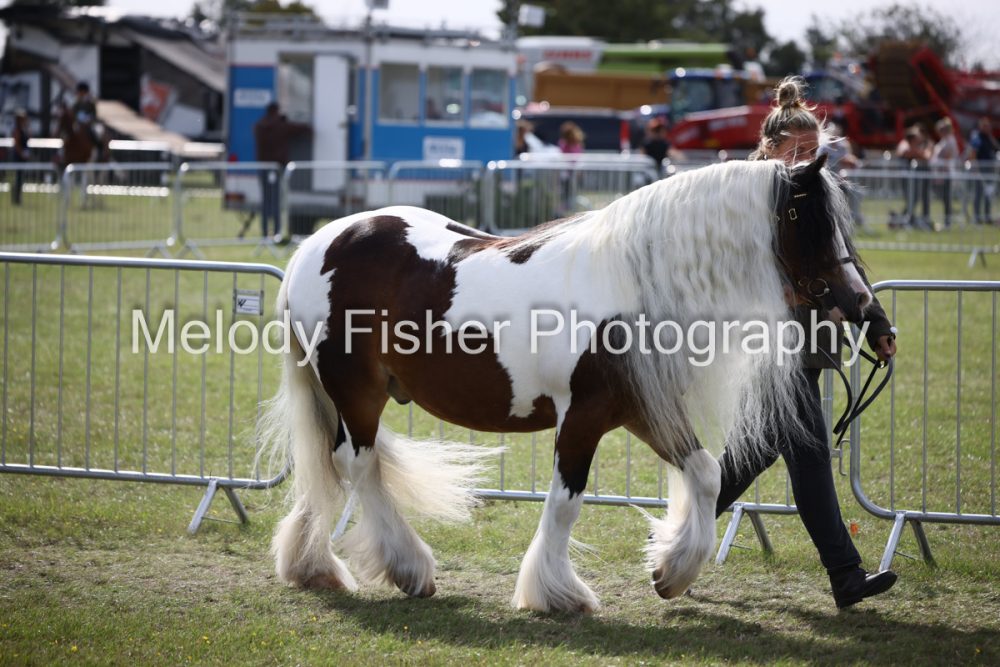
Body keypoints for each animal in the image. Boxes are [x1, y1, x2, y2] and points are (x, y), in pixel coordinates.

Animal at [259, 155, 872, 613]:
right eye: (809, 219)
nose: (861, 302)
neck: (632, 284)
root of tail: (318, 244)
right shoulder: (580, 419)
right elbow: (563, 504)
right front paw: (557, 594)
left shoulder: (641, 412)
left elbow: (705, 473)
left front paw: (670, 571)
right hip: (356, 392)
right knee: (358, 465)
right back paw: (409, 568)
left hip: (344, 396)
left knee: (327, 464)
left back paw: (313, 567)